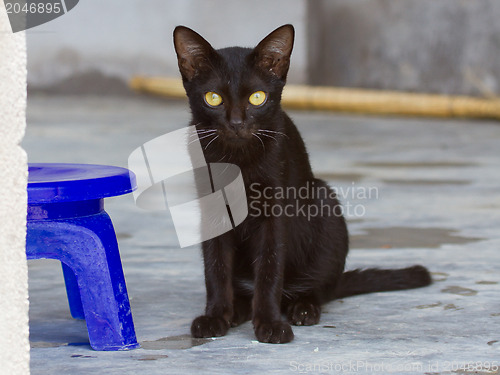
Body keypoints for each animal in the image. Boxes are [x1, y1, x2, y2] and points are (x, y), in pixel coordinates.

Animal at [173, 25, 430, 346]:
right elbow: (216, 267)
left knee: (320, 288)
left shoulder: (275, 212)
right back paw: (238, 309)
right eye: (213, 98)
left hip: (324, 202)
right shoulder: (212, 210)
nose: (236, 123)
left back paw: (303, 307)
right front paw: (215, 316)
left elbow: (270, 268)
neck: (239, 162)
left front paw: (270, 323)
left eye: (257, 97)